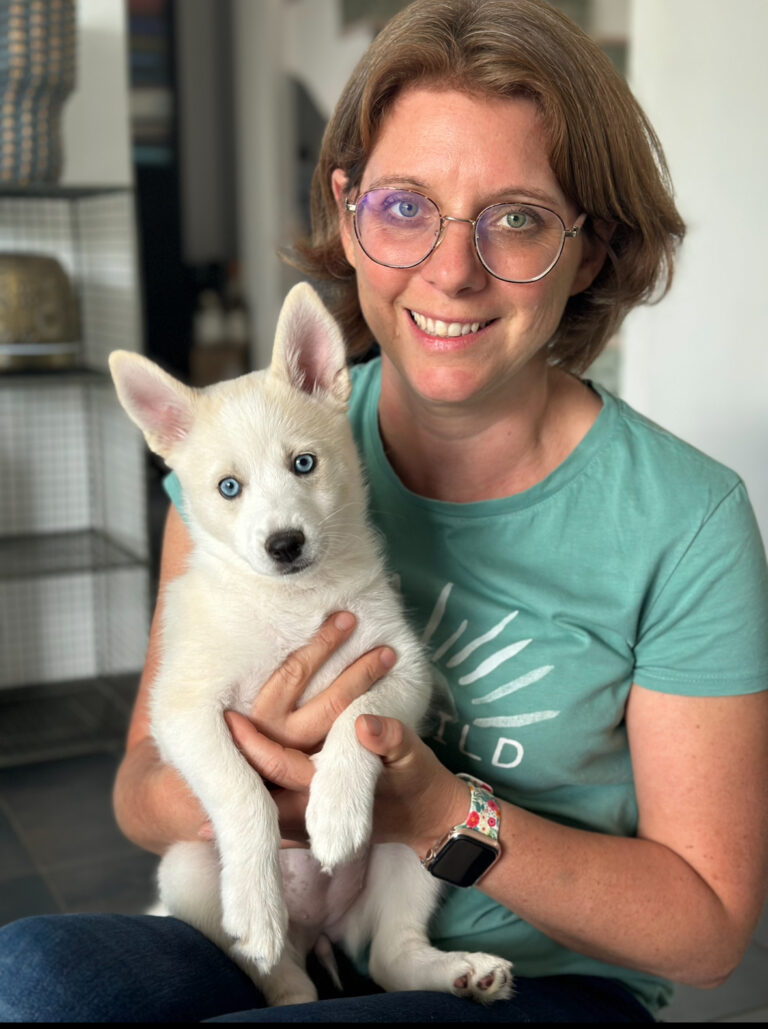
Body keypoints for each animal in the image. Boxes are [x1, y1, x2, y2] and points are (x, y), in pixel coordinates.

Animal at [109, 284, 514, 1004]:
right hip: (187, 866)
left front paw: (334, 810)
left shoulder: (397, 665)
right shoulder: (183, 710)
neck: (290, 606)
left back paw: (463, 971)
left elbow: (356, 716)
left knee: (392, 955)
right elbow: (241, 790)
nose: (284, 544)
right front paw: (255, 895)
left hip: (415, 845)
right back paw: (269, 933)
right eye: (229, 487)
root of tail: (321, 928)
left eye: (304, 464)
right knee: (283, 979)